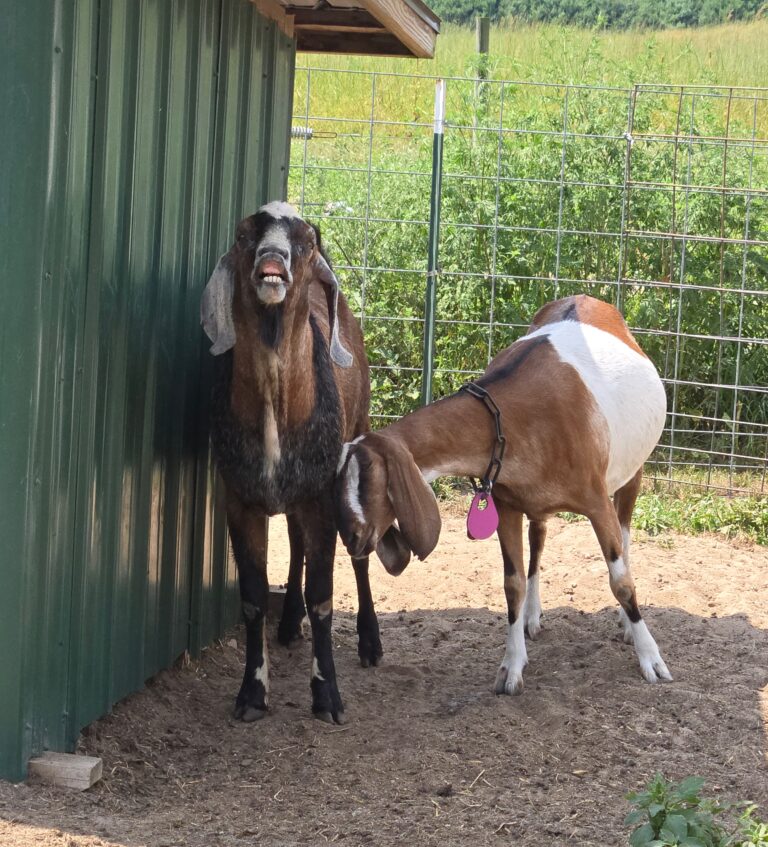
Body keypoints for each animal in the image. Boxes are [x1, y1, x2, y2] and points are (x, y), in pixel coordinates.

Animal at [200, 201, 381, 725]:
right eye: (245, 236)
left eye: (305, 240)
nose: (272, 259)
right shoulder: (240, 499)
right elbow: (252, 597)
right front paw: (251, 693)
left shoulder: (321, 494)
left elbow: (323, 597)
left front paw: (328, 697)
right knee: (297, 543)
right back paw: (287, 624)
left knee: (358, 551)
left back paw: (370, 641)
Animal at [334, 294, 672, 695]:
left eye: (370, 476)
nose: (351, 536)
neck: (511, 416)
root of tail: (585, 297)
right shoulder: (507, 505)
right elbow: (512, 585)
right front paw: (511, 667)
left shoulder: (596, 500)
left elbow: (621, 581)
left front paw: (651, 658)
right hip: (538, 503)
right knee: (538, 538)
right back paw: (532, 615)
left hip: (632, 472)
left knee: (625, 535)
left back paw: (625, 624)